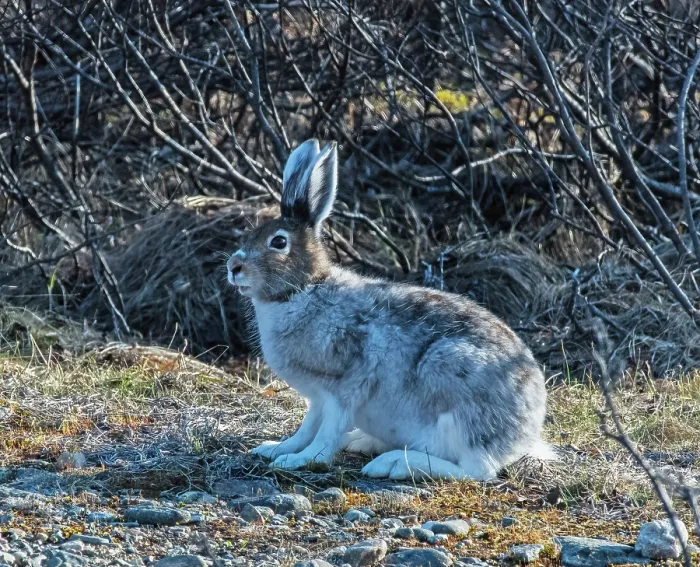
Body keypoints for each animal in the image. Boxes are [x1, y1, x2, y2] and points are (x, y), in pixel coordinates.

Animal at [227, 139, 554, 481]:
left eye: (278, 242)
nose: (233, 266)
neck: (302, 290)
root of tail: (524, 432)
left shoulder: (345, 387)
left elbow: (326, 433)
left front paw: (300, 460)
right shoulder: (317, 398)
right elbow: (306, 428)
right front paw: (275, 449)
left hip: (453, 388)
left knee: (475, 470)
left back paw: (392, 463)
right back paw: (363, 442)